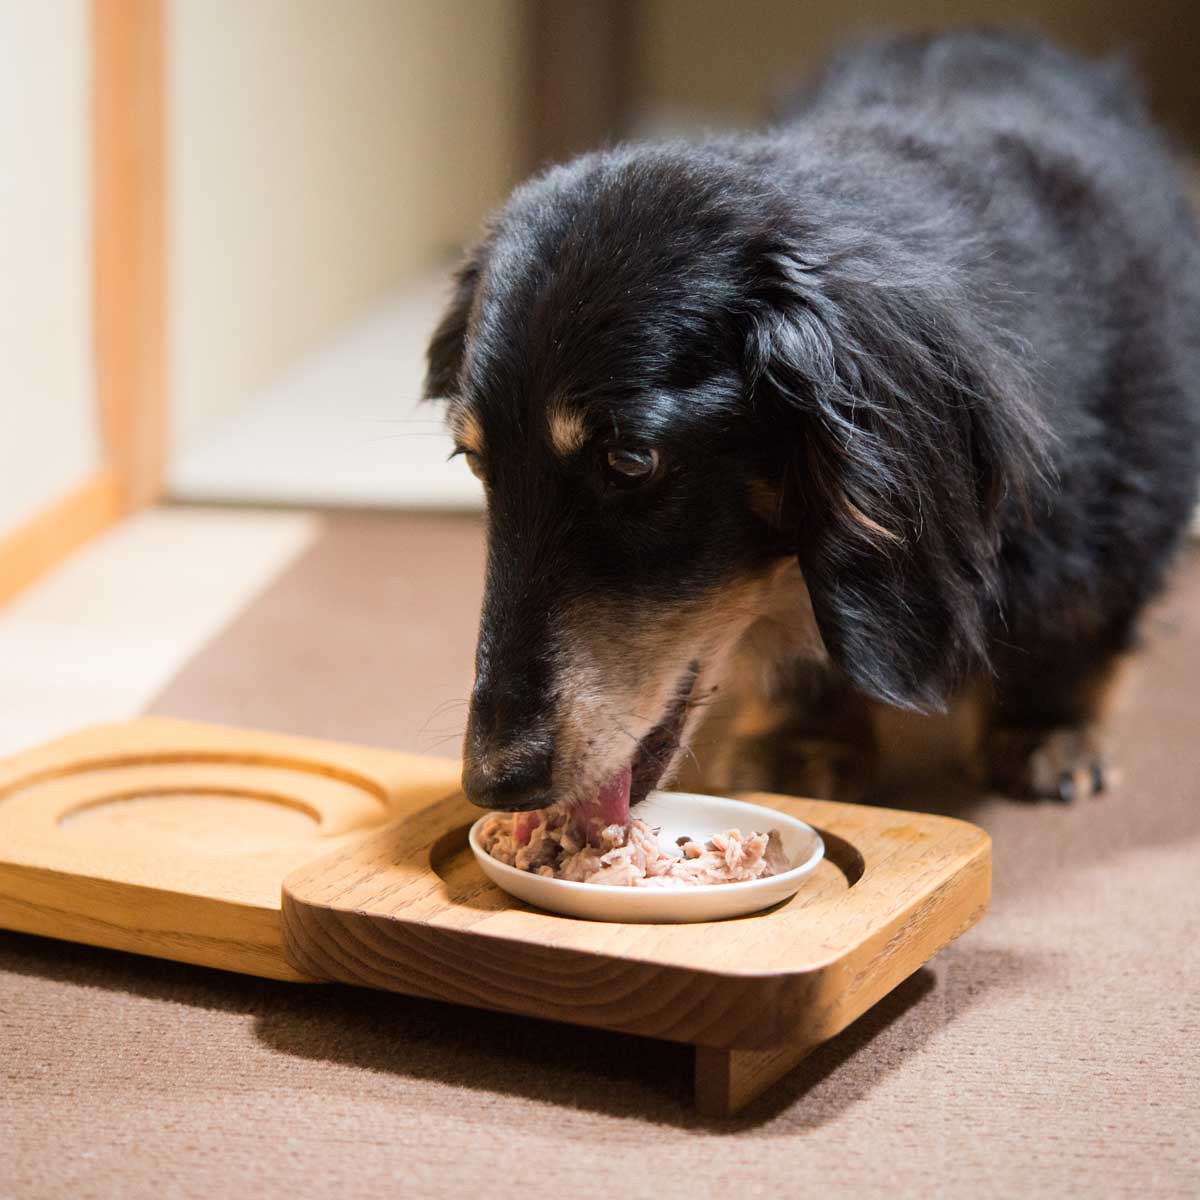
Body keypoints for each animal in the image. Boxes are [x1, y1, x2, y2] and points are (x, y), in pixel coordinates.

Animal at [427, 28, 1195, 820]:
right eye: (476, 462)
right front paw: (803, 737)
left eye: (630, 462)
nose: (493, 783)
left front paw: (1045, 728)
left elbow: (1078, 624)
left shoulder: (1123, 498)